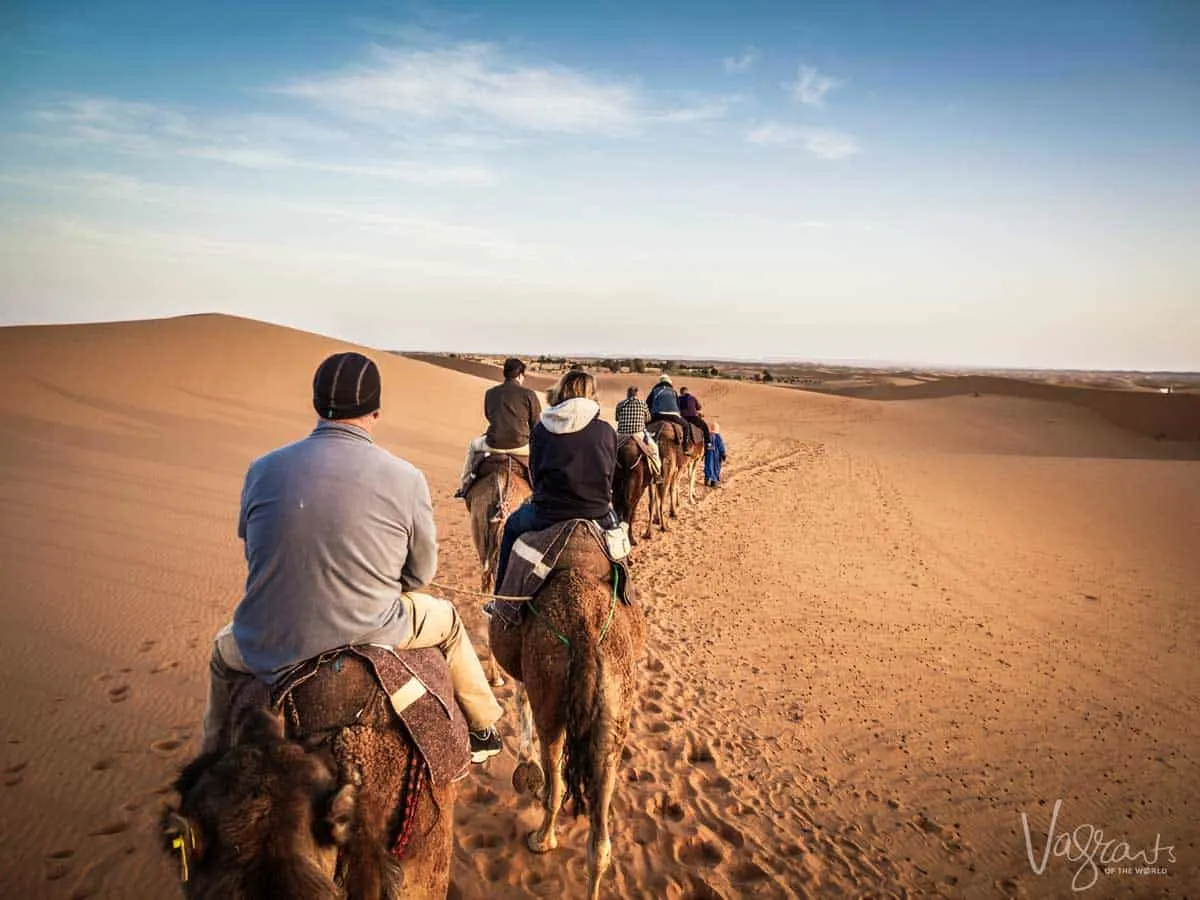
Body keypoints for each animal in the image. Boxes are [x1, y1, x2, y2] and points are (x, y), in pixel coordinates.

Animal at [484, 528, 643, 900]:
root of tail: (585, 629)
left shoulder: (527, 674)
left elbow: (521, 701)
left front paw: (526, 768)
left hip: (549, 695)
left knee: (555, 777)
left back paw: (542, 839)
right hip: (614, 716)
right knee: (601, 838)